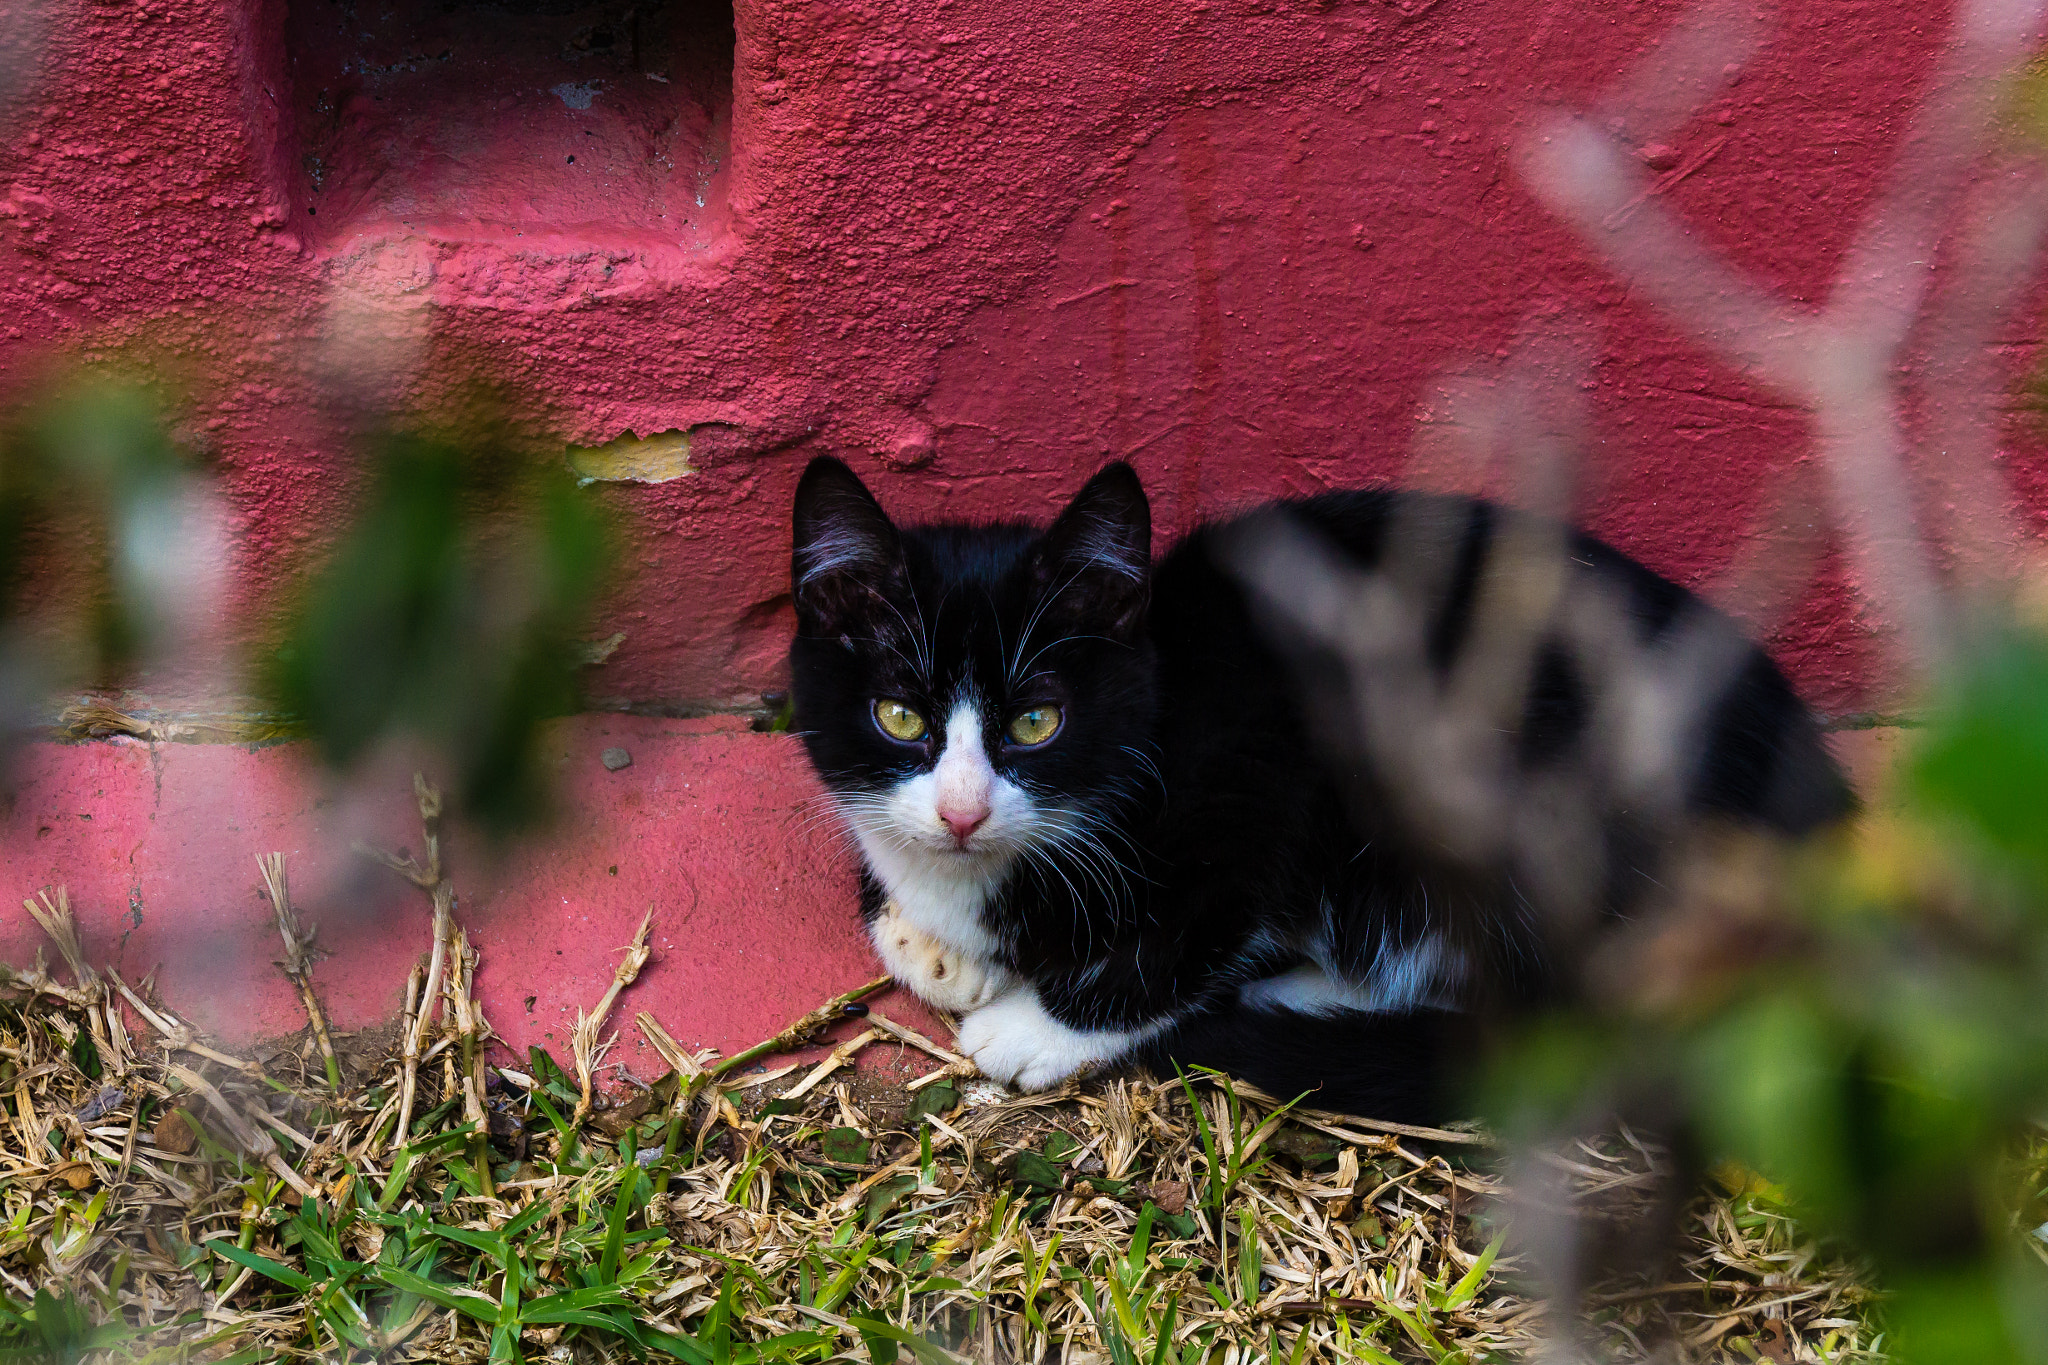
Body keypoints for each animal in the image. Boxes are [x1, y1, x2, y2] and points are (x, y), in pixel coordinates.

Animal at [786, 456, 1859, 1121]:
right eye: (900, 717)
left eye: (1037, 722)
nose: (962, 812)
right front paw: (926, 939)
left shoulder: (1261, 774)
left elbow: (1189, 934)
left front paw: (1036, 1025)